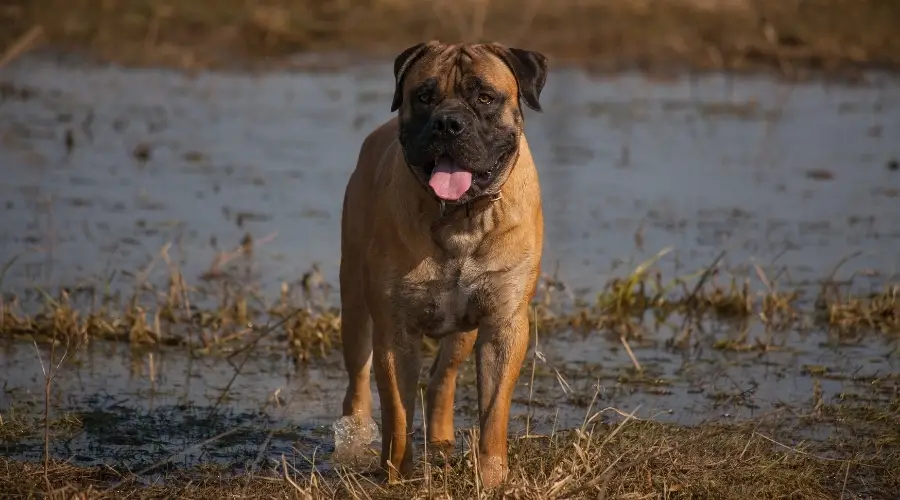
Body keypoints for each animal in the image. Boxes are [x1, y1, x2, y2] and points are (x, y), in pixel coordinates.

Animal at [340, 40, 544, 488]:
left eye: (484, 97)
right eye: (424, 96)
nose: (448, 124)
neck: (460, 218)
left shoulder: (503, 324)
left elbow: (494, 410)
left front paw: (492, 475)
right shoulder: (394, 330)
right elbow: (398, 412)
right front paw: (398, 475)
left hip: (462, 331)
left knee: (442, 381)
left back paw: (441, 441)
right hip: (354, 306)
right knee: (358, 381)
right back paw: (354, 438)